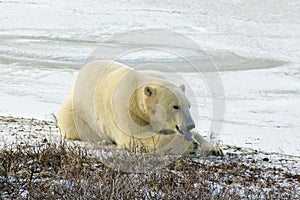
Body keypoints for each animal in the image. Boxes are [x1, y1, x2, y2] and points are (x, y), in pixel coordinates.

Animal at [57, 60, 221, 155]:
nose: (190, 124)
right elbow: (138, 138)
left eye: (189, 105)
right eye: (175, 106)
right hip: (75, 116)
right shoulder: (124, 108)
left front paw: (213, 148)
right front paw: (190, 145)